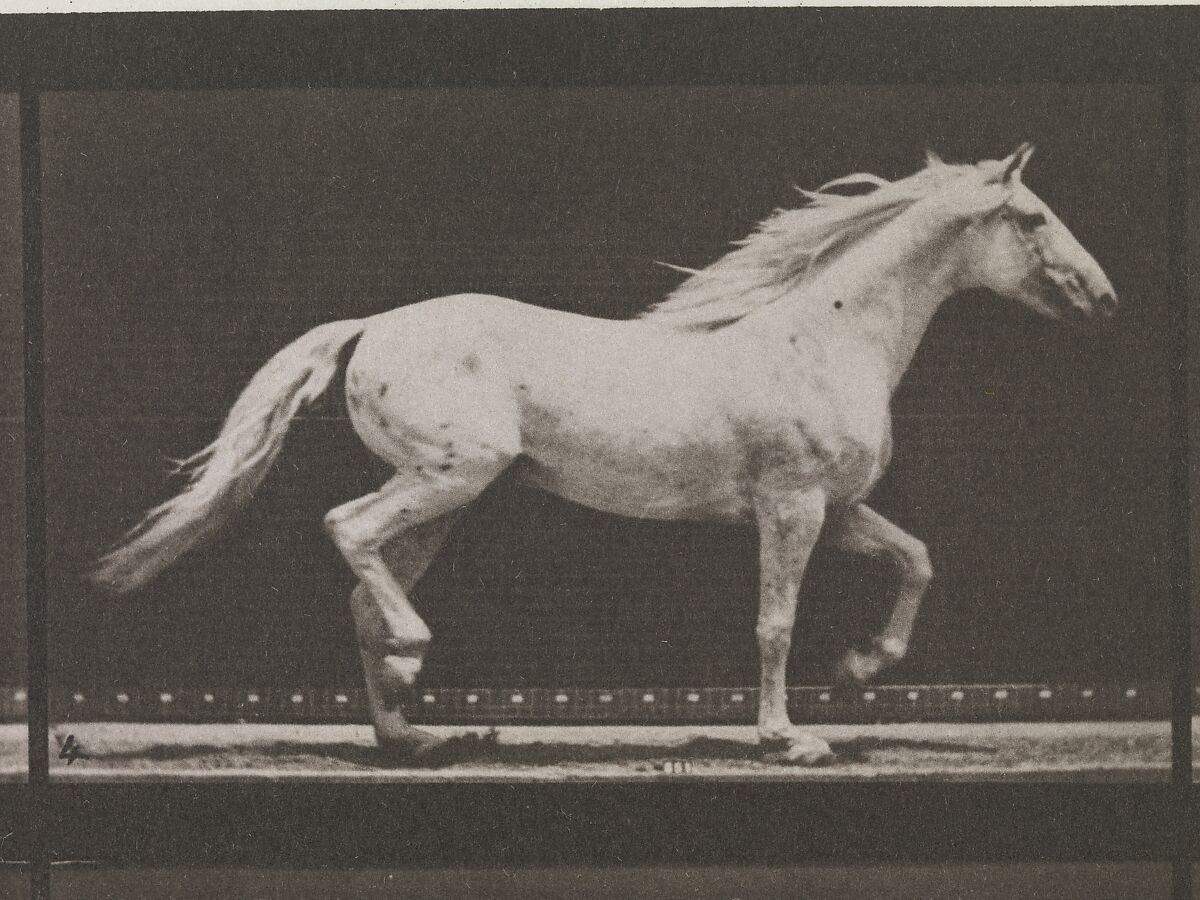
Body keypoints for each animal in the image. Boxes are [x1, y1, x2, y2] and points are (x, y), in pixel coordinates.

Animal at [89, 144, 1117, 766]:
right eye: (1031, 218)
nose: (1103, 299)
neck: (825, 340)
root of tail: (372, 326)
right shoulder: (790, 507)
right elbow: (774, 623)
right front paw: (788, 738)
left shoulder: (838, 509)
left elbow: (917, 560)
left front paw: (862, 668)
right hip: (450, 475)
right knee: (347, 531)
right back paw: (418, 669)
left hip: (445, 494)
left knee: (363, 583)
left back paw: (411, 737)